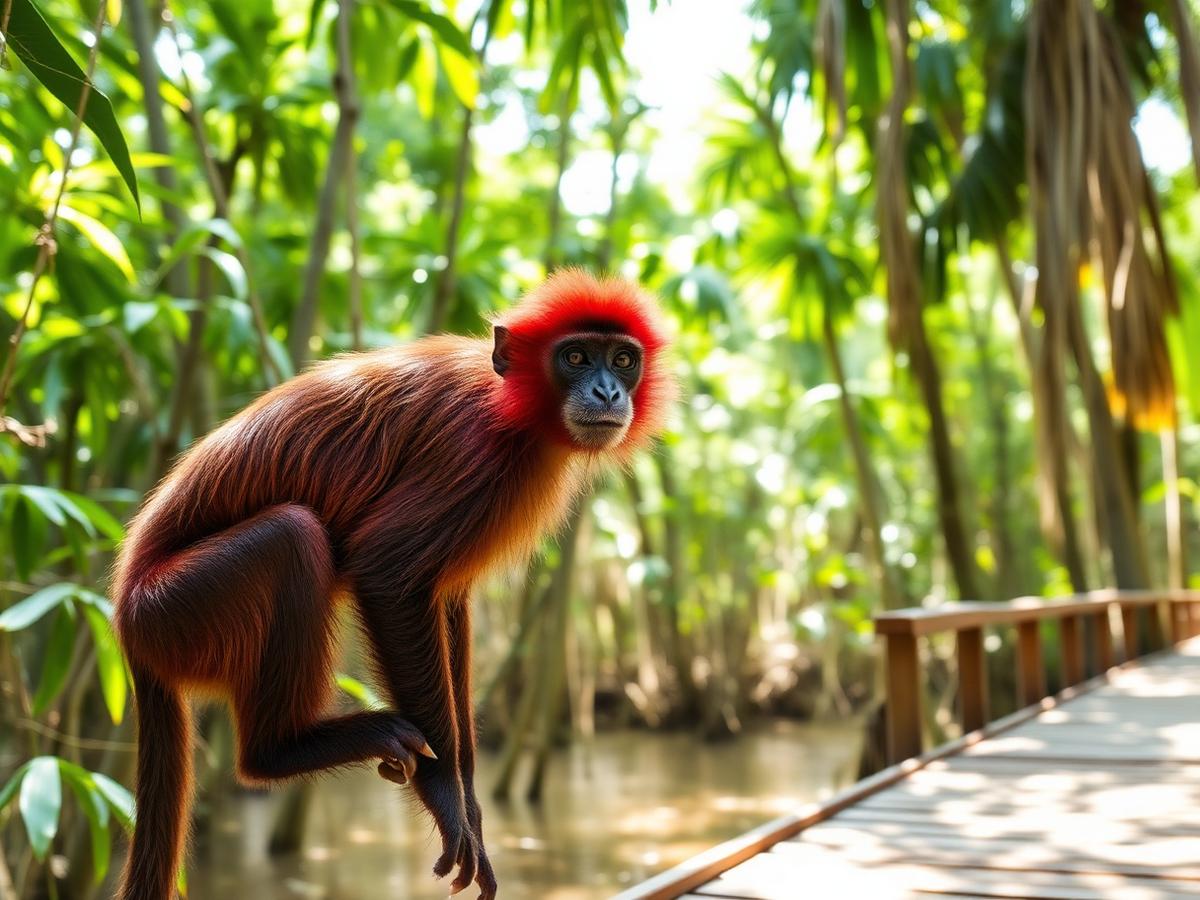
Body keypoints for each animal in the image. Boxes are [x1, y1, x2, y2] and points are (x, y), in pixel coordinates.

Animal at [110, 270, 672, 900]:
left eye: (622, 359)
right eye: (575, 357)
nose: (607, 393)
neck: (509, 402)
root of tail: (128, 621)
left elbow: (445, 596)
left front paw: (470, 803)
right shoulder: (469, 449)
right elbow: (389, 571)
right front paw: (446, 798)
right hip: (179, 607)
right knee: (291, 534)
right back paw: (280, 750)